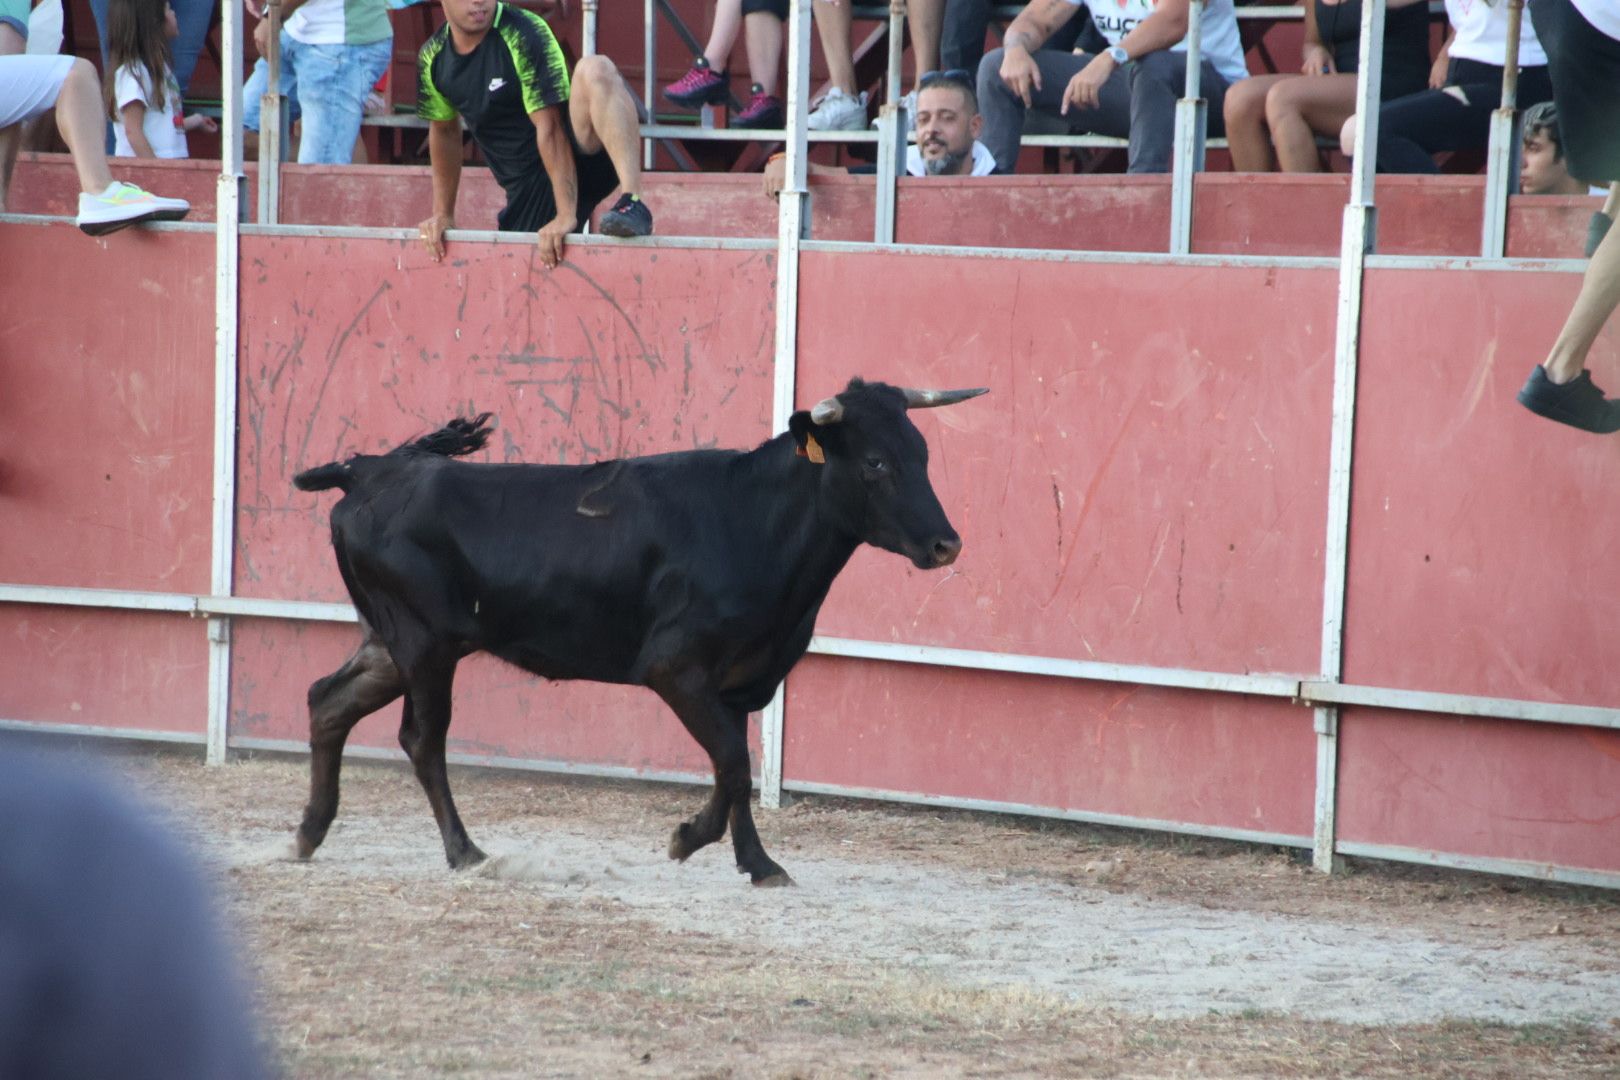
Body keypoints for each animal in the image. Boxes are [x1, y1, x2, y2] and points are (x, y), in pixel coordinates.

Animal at [291, 380, 984, 887]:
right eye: (875, 462)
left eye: (922, 455)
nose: (946, 545)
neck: (752, 519)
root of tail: (372, 470)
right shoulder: (675, 670)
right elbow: (733, 765)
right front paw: (686, 840)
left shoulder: (741, 681)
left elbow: (736, 767)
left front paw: (760, 865)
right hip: (425, 645)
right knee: (421, 739)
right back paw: (465, 853)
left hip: (389, 644)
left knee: (329, 702)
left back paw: (307, 834)